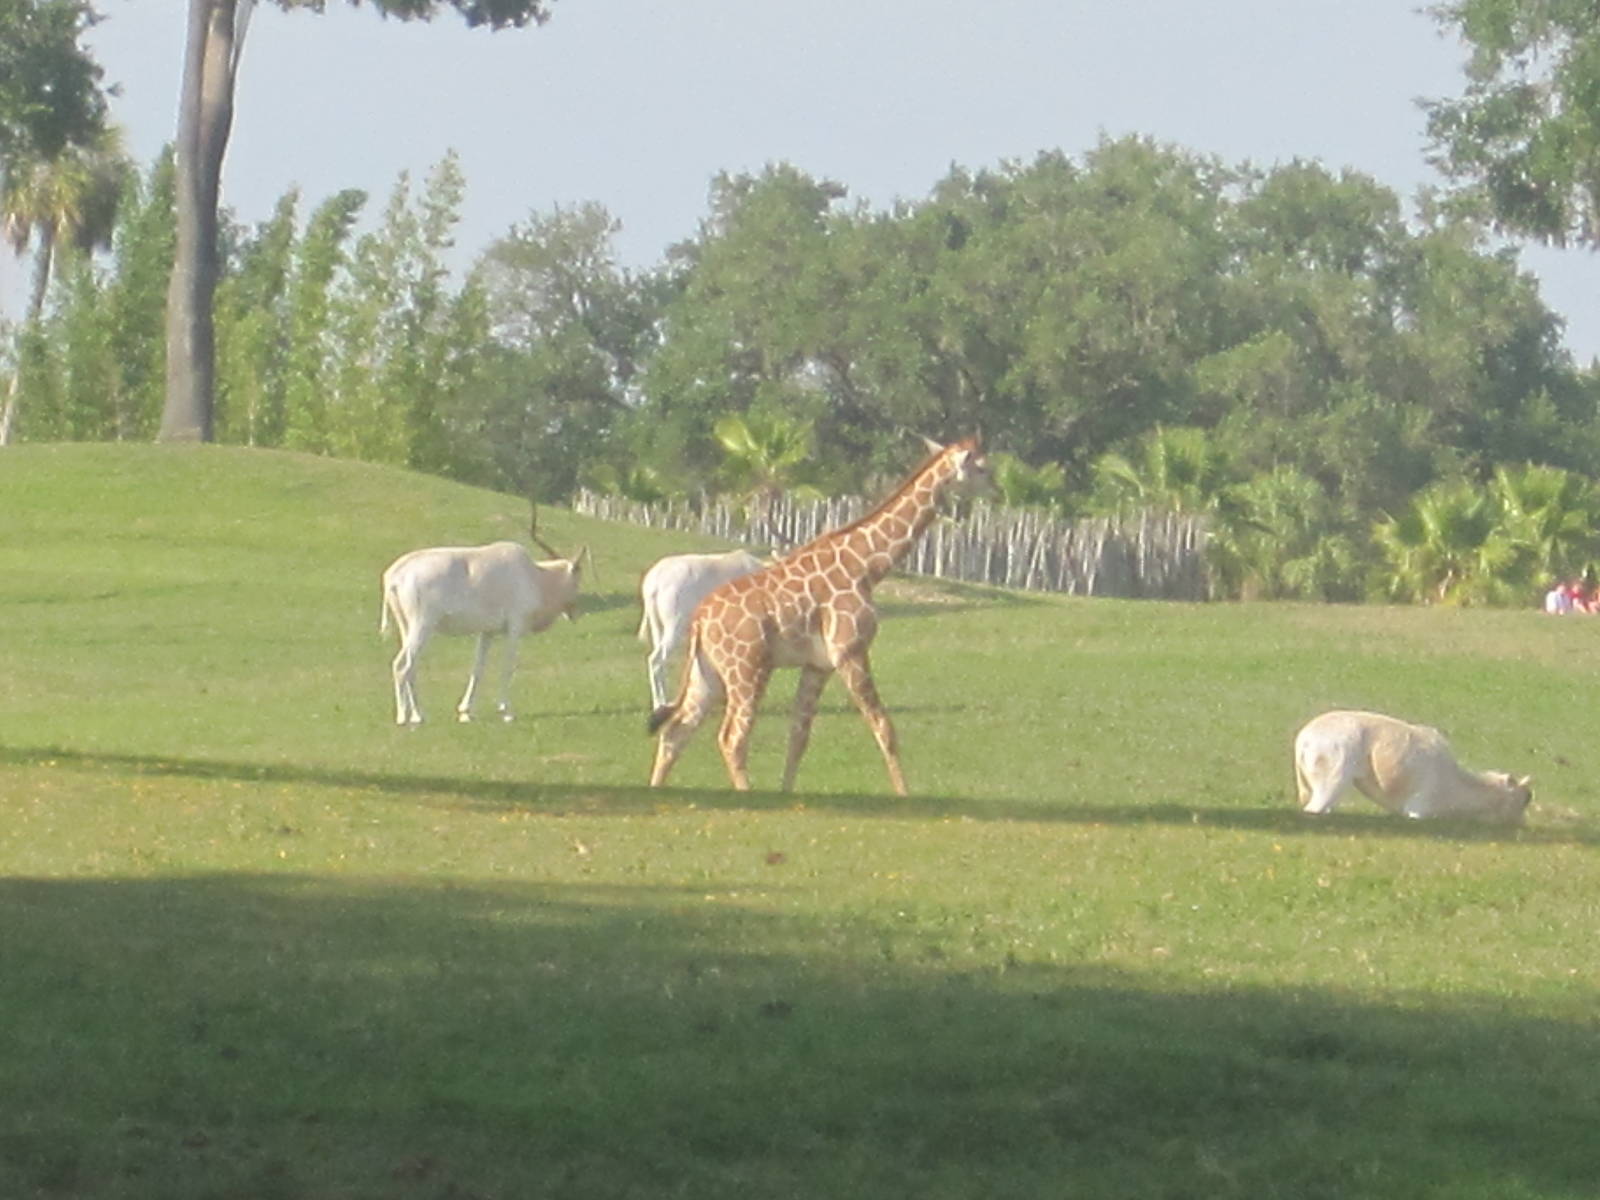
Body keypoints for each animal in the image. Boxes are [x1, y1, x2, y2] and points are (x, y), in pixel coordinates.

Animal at [648, 436, 992, 795]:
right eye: (982, 467)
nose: (996, 490)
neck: (867, 566)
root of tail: (701, 620)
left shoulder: (818, 665)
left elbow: (799, 736)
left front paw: (786, 793)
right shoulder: (850, 652)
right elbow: (883, 726)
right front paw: (904, 795)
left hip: (708, 674)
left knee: (676, 730)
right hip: (747, 668)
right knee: (731, 738)